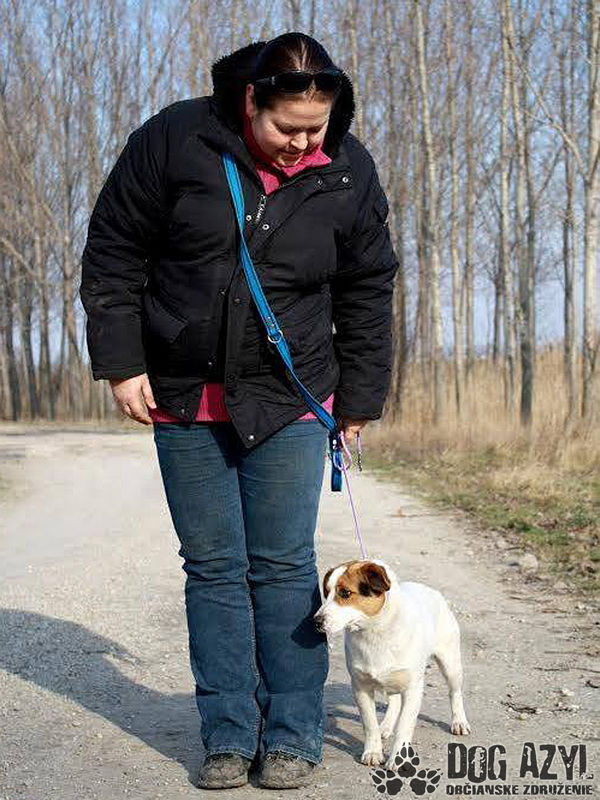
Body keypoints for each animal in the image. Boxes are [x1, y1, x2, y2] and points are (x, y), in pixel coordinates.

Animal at [313, 558, 471, 769]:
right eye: (326, 593)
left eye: (345, 593)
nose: (315, 622)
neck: (376, 630)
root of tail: (431, 591)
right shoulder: (360, 687)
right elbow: (369, 724)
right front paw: (373, 752)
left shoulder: (413, 689)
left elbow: (404, 726)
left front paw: (398, 757)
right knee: (394, 702)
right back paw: (386, 726)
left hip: (450, 664)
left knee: (455, 693)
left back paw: (459, 722)